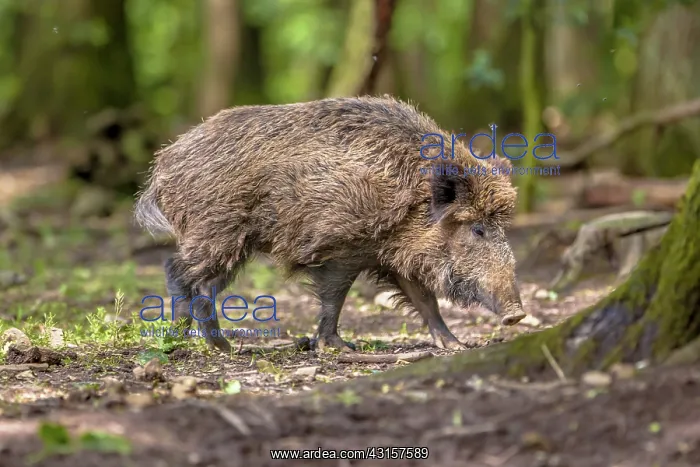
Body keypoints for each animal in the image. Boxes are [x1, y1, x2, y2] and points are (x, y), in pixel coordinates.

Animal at [134, 95, 526, 353]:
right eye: (477, 228)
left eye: (501, 228)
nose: (517, 315)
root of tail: (162, 166)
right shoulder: (343, 248)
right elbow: (335, 297)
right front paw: (338, 347)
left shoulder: (393, 254)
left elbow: (425, 299)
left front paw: (455, 345)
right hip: (217, 229)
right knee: (177, 269)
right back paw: (200, 342)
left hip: (233, 242)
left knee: (205, 284)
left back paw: (216, 344)